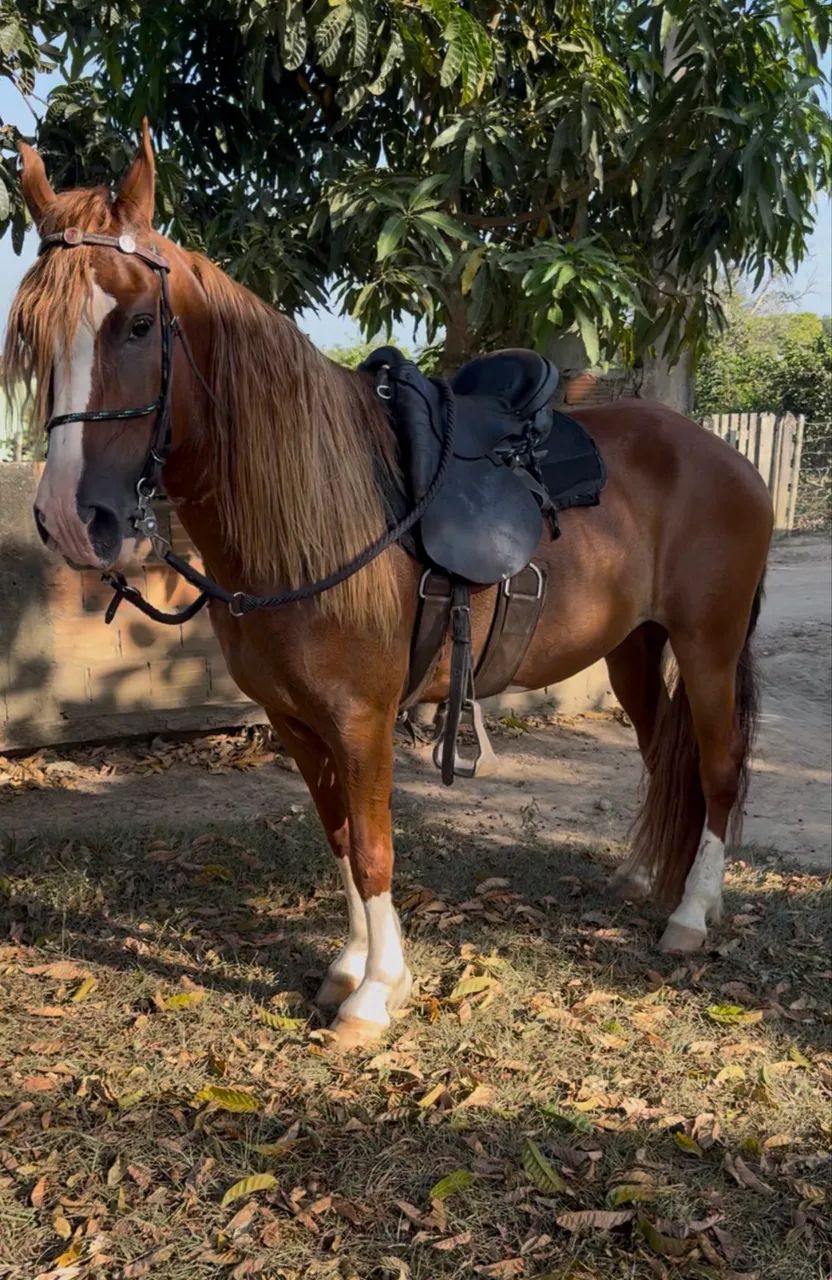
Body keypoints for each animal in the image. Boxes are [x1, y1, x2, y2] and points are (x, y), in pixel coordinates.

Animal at [5, 124, 773, 1048]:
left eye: (142, 324)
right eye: (31, 336)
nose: (68, 518)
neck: (305, 520)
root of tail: (725, 457)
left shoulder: (360, 716)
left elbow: (374, 846)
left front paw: (376, 995)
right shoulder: (295, 720)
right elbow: (339, 836)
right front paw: (349, 967)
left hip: (707, 647)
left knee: (719, 767)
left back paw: (691, 916)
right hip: (632, 649)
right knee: (663, 755)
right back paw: (637, 877)